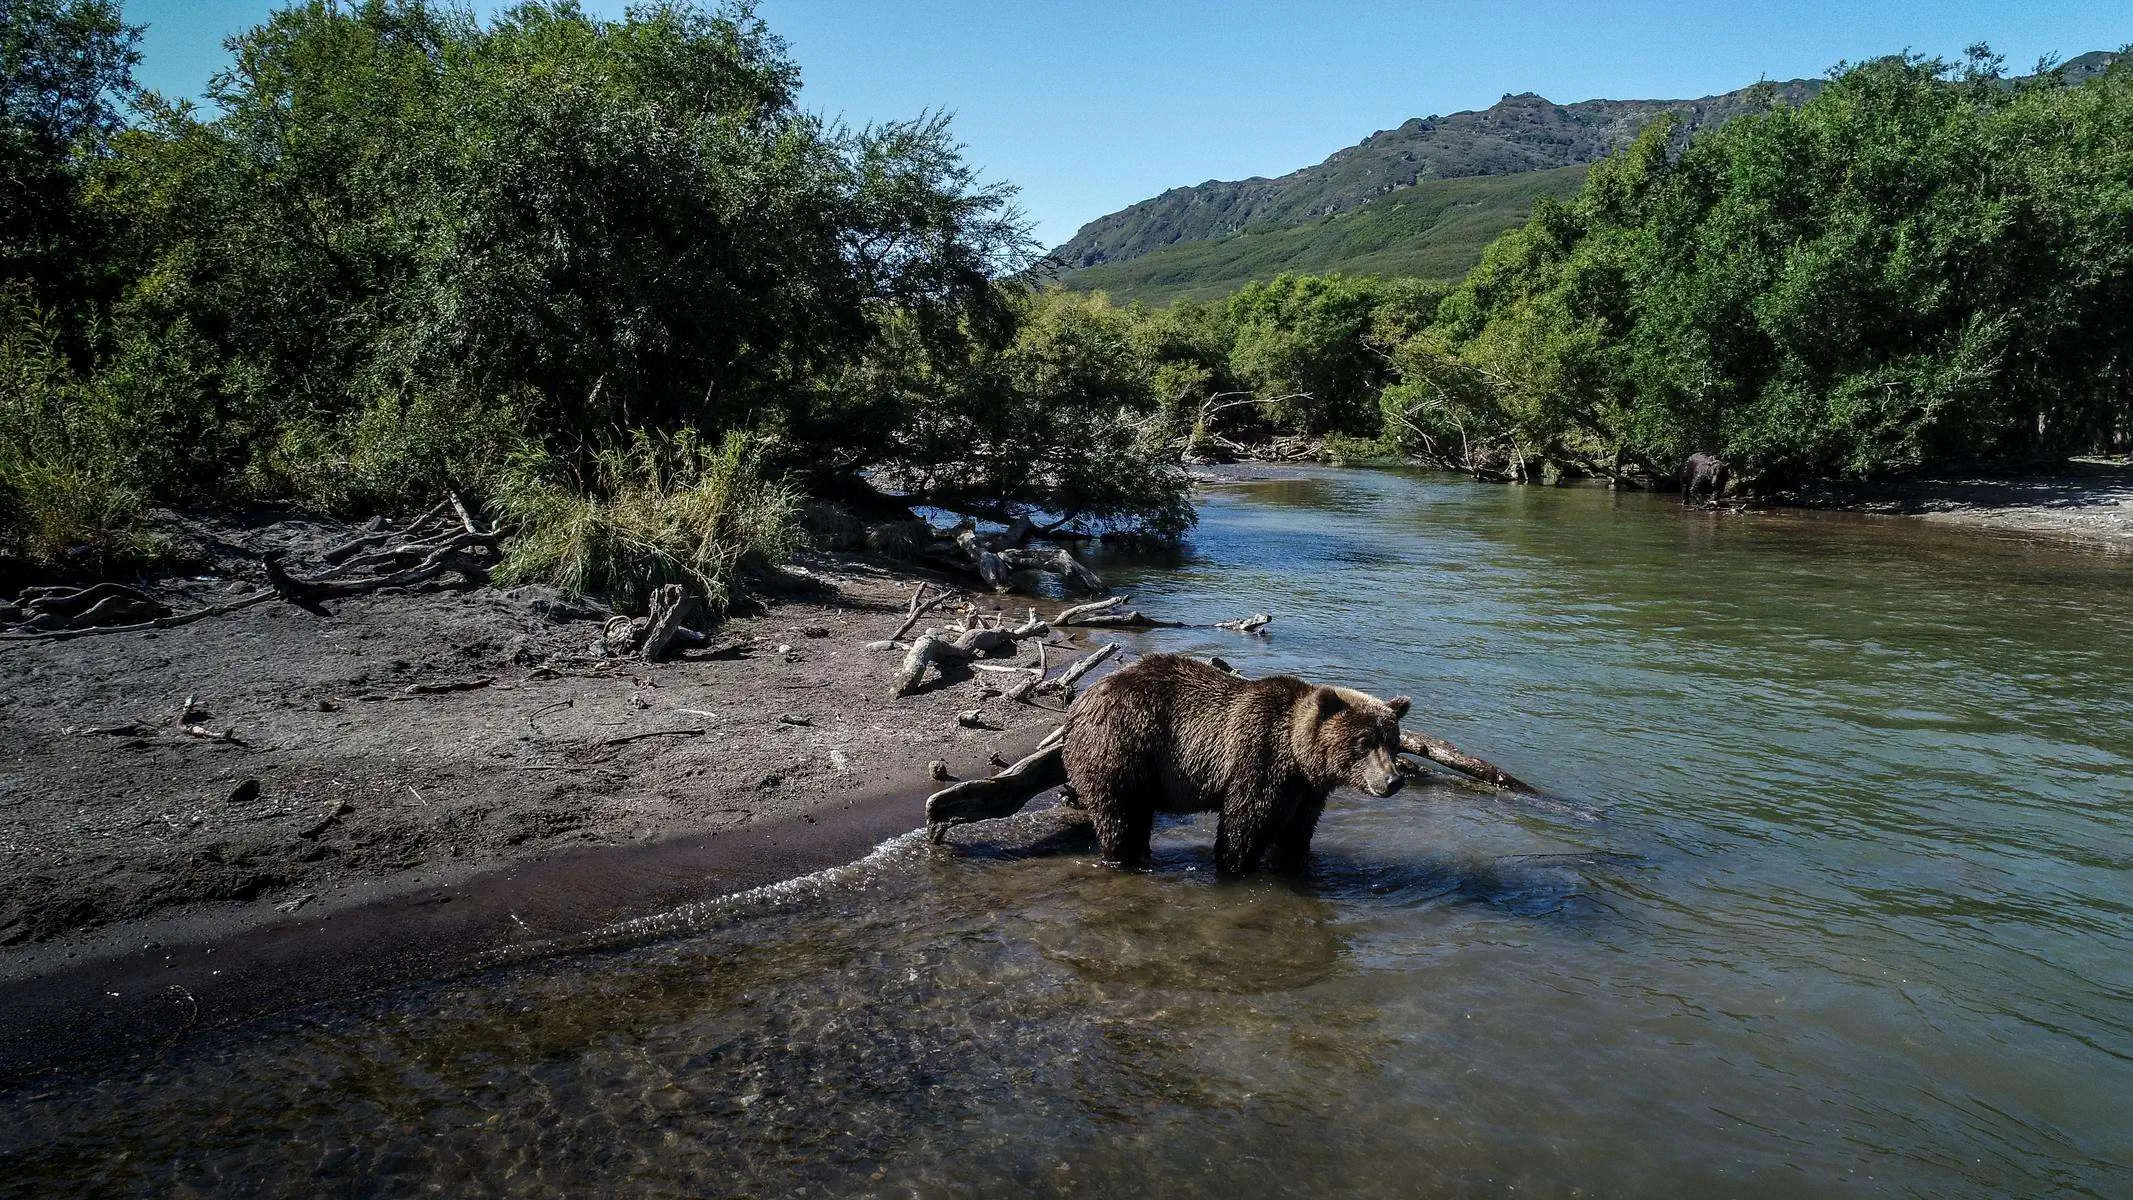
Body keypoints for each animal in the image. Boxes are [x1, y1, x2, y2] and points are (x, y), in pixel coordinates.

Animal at [1057, 652, 1407, 878]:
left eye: (1391, 741)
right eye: (1363, 742)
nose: (1393, 780)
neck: (1297, 756)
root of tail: (1080, 702)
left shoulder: (1307, 790)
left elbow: (1298, 831)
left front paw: (1292, 862)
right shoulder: (1258, 757)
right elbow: (1244, 823)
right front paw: (1236, 865)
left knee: (1138, 814)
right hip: (1122, 744)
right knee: (1118, 813)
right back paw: (1120, 858)